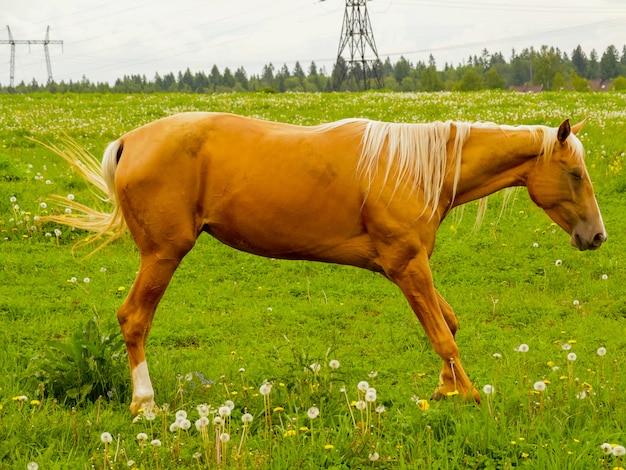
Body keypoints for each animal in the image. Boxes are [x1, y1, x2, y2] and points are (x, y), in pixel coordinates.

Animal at [40, 114, 604, 414]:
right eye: (576, 173)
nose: (595, 236)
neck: (417, 167)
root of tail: (129, 141)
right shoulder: (407, 267)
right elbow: (443, 334)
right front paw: (465, 395)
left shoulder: (413, 267)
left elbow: (450, 323)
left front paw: (445, 387)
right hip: (162, 255)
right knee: (134, 319)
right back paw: (145, 403)